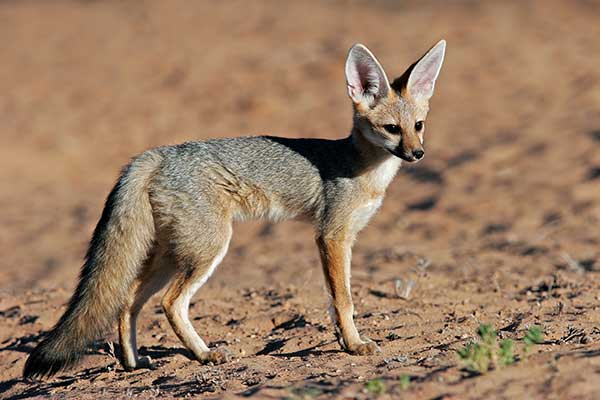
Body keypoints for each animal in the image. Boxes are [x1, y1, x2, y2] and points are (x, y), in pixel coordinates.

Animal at [23, 39, 446, 378]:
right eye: (392, 129)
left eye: (419, 125)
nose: (417, 154)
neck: (364, 169)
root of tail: (155, 154)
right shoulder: (331, 236)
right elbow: (343, 300)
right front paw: (354, 345)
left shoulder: (345, 238)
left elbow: (336, 302)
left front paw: (345, 342)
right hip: (207, 250)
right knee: (169, 303)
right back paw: (204, 354)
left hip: (170, 255)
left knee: (127, 302)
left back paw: (134, 362)